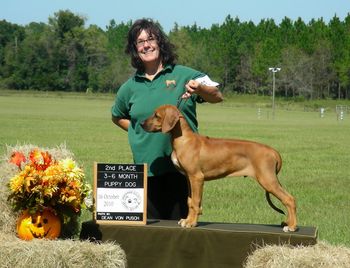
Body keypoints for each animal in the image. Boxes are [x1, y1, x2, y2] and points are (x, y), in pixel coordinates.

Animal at [141, 104, 296, 232]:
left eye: (156, 115)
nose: (141, 123)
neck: (184, 139)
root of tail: (273, 151)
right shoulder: (189, 178)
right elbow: (190, 201)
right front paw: (187, 220)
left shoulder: (197, 177)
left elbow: (196, 202)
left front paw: (191, 223)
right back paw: (287, 223)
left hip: (267, 180)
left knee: (289, 199)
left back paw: (292, 226)